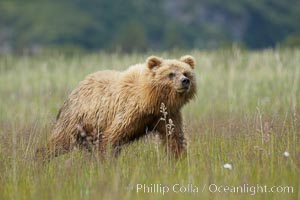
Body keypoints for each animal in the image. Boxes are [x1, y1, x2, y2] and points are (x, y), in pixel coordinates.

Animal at [37, 55, 197, 160]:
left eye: (186, 72)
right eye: (171, 74)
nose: (185, 81)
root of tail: (77, 87)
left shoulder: (167, 115)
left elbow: (174, 136)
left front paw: (180, 158)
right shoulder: (129, 111)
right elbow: (113, 136)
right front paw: (106, 160)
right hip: (77, 119)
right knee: (60, 140)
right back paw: (41, 158)